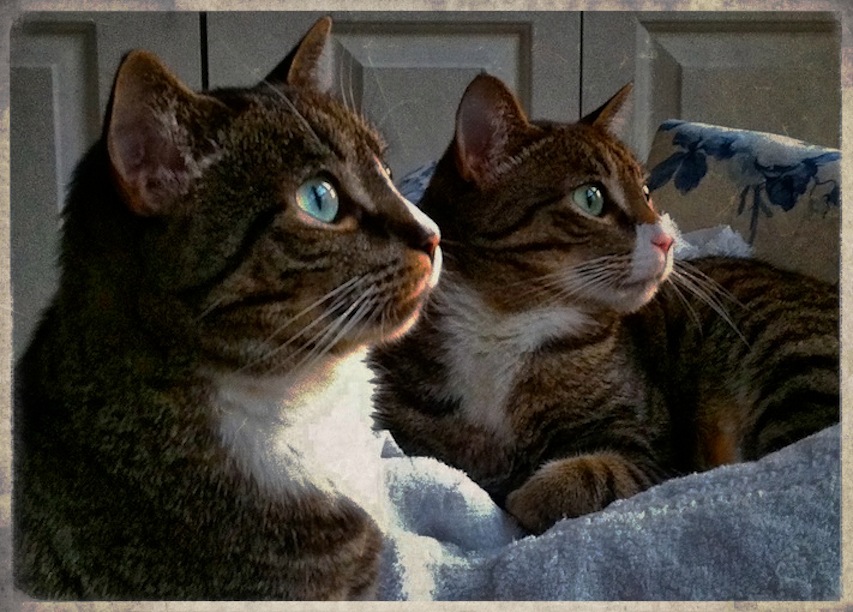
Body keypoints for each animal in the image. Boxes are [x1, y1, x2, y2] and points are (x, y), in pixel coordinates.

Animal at [369, 73, 838, 535]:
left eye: (647, 192)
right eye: (590, 198)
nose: (666, 239)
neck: (504, 324)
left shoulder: (649, 446)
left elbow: (606, 475)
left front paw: (530, 495)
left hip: (794, 354)